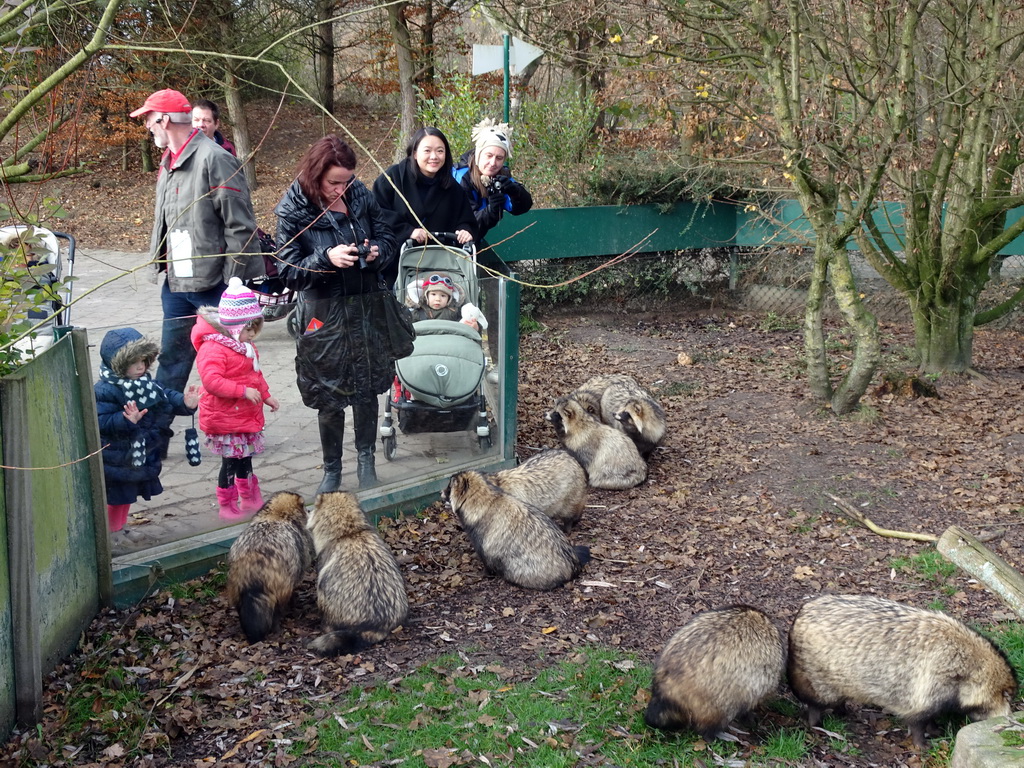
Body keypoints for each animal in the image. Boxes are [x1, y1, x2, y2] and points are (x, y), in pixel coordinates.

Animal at [226, 493, 313, 643]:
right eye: (303, 506)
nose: (309, 511)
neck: (276, 515)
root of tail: (253, 571)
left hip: (235, 589)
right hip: (281, 585)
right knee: (278, 608)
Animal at [442, 468, 593, 589]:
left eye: (449, 487)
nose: (441, 492)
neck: (484, 500)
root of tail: (572, 565)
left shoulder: (482, 536)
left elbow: (486, 558)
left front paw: (485, 573)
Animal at [782, 593, 1015, 749]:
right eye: (1007, 698)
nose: (1010, 719)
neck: (968, 667)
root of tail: (801, 613)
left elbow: (930, 717)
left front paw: (935, 730)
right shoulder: (929, 687)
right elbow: (919, 720)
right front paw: (922, 744)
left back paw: (843, 710)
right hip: (814, 675)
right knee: (816, 701)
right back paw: (817, 722)